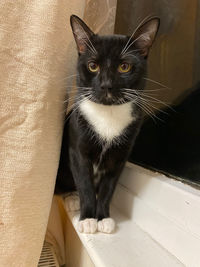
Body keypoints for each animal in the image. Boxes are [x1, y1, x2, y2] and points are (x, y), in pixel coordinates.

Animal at [55, 14, 159, 233]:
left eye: (124, 67)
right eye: (93, 66)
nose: (106, 85)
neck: (108, 115)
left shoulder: (119, 156)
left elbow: (108, 188)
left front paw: (103, 218)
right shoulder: (78, 149)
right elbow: (85, 184)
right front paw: (87, 218)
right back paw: (72, 198)